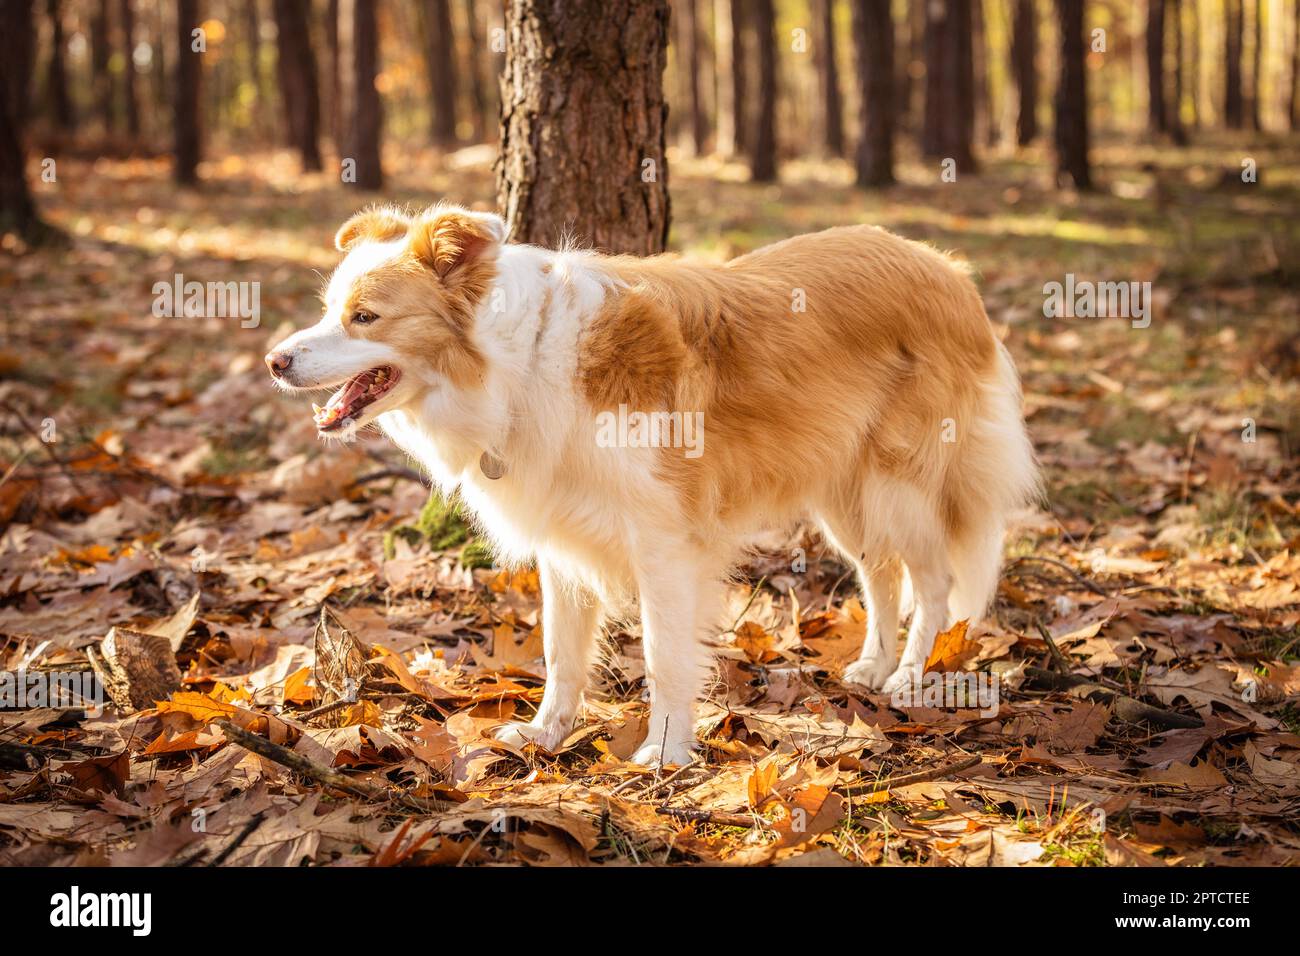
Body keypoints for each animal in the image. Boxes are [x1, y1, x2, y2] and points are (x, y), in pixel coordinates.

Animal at [269, 205, 1040, 764]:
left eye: (364, 317)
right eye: (328, 308)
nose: (276, 360)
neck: (524, 362)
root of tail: (947, 268)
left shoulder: (666, 544)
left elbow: (664, 657)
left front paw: (666, 753)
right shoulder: (564, 538)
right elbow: (562, 654)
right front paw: (546, 735)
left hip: (897, 483)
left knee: (933, 578)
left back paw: (911, 674)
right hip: (844, 492)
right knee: (881, 573)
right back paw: (874, 667)